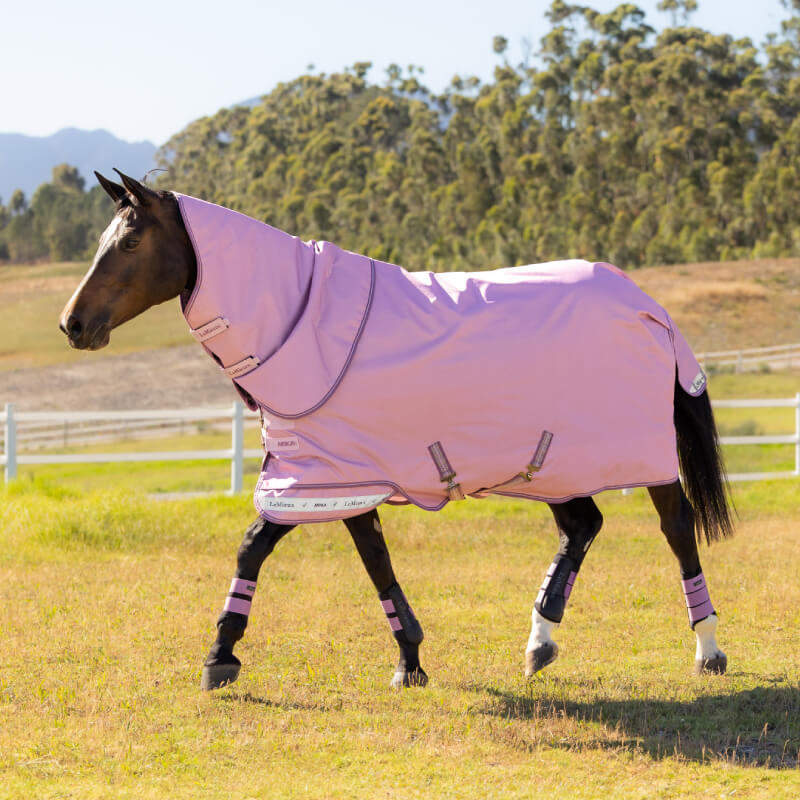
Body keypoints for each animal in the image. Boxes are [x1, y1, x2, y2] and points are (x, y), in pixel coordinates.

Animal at [59, 170, 734, 691]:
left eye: (131, 240)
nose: (73, 323)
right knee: (582, 527)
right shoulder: (335, 477)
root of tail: (647, 306)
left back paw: (708, 649)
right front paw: (409, 658)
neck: (302, 323)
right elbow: (367, 560)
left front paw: (222, 654)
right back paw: (540, 640)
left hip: (643, 460)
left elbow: (266, 547)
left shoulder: (330, 477)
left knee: (678, 532)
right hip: (549, 463)